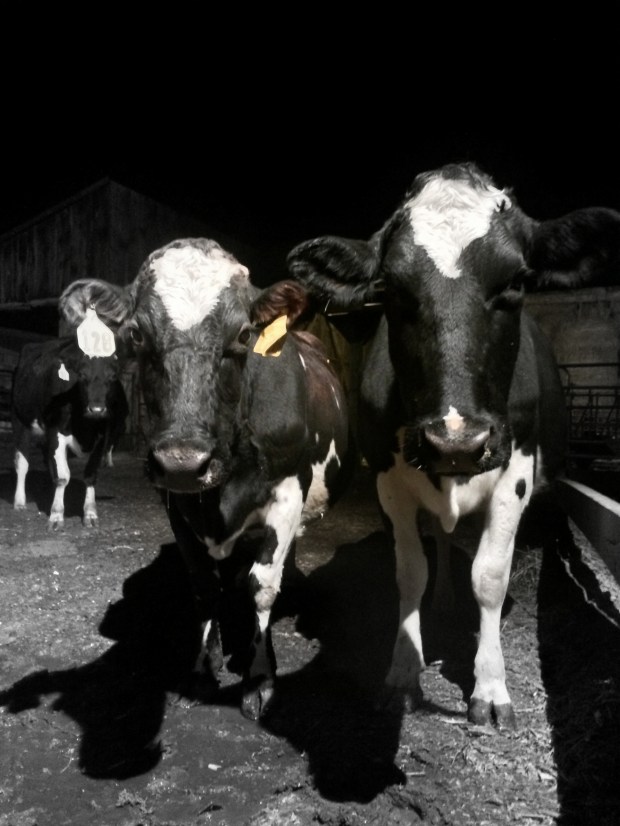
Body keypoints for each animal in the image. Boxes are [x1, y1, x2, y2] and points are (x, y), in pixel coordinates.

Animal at [11, 281, 129, 529]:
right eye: (81, 376)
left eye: (113, 377)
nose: (97, 409)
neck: (85, 426)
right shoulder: (55, 431)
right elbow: (63, 476)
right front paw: (56, 515)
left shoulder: (103, 435)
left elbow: (90, 474)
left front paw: (90, 513)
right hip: (20, 420)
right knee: (22, 462)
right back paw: (20, 501)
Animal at [64, 238, 353, 720]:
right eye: (136, 334)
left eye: (244, 335)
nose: (183, 460)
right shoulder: (176, 502)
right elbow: (203, 586)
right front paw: (203, 667)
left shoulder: (287, 493)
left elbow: (262, 587)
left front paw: (259, 677)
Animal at [286, 161, 620, 729]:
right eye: (391, 288)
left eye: (516, 281)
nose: (455, 440)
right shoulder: (389, 477)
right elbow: (410, 572)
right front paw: (403, 673)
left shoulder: (515, 473)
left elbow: (490, 577)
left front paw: (491, 687)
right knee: (440, 541)